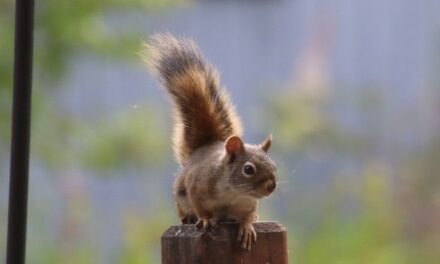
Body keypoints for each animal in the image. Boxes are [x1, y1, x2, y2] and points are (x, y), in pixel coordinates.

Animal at [143, 34, 276, 251]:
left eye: (274, 166)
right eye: (248, 169)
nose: (271, 186)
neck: (233, 193)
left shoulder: (248, 203)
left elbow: (248, 215)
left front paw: (248, 226)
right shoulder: (197, 185)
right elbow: (200, 206)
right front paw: (205, 219)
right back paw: (188, 218)